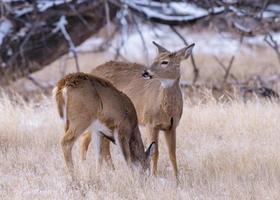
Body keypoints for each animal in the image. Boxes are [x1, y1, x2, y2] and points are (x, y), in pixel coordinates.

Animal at [80, 41, 195, 179]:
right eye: (155, 59)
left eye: (165, 62)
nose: (146, 72)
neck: (166, 111)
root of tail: (91, 71)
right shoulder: (151, 123)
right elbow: (155, 152)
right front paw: (154, 176)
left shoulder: (172, 127)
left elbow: (172, 153)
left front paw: (177, 179)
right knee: (85, 139)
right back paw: (84, 167)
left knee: (104, 146)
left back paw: (112, 171)